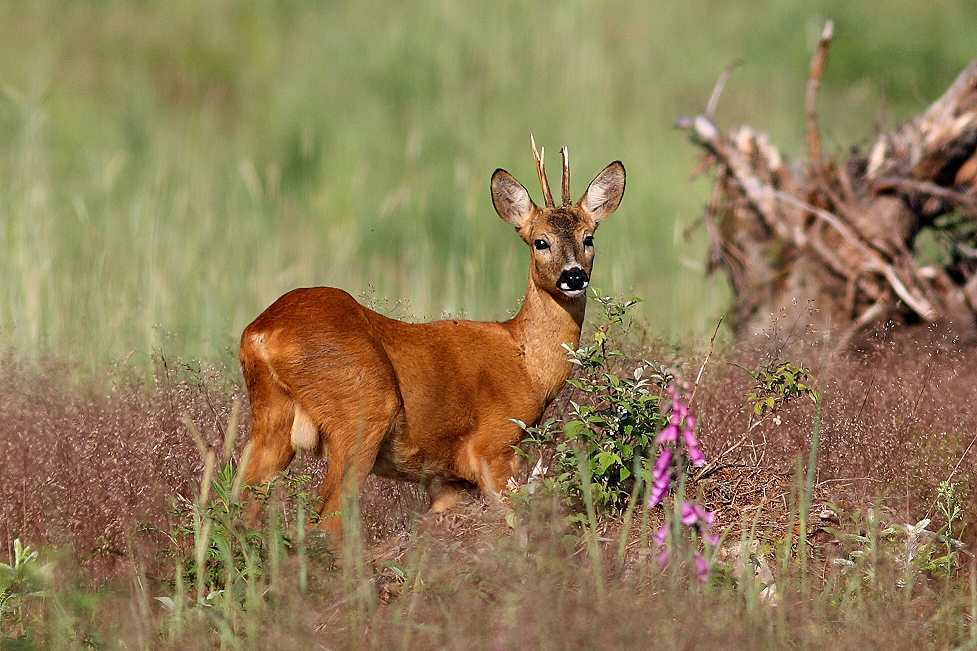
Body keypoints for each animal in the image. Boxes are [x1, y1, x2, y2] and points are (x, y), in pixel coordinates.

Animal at [241, 139, 628, 540]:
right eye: (541, 242)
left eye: (588, 238)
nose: (574, 276)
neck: (527, 364)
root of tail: (262, 334)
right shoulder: (493, 448)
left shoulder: (448, 481)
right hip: (362, 411)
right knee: (329, 521)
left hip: (272, 421)